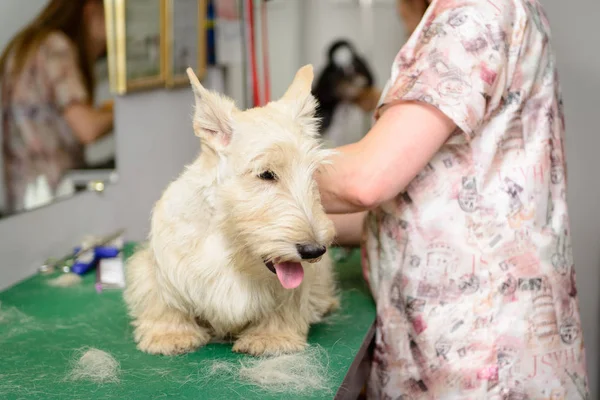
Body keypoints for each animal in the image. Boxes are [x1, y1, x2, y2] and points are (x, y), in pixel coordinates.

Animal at [124, 65, 340, 356]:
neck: (230, 244)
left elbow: (283, 307)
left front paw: (271, 336)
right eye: (266, 174)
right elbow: (165, 301)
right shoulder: (158, 268)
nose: (314, 251)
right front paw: (170, 334)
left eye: (313, 172)